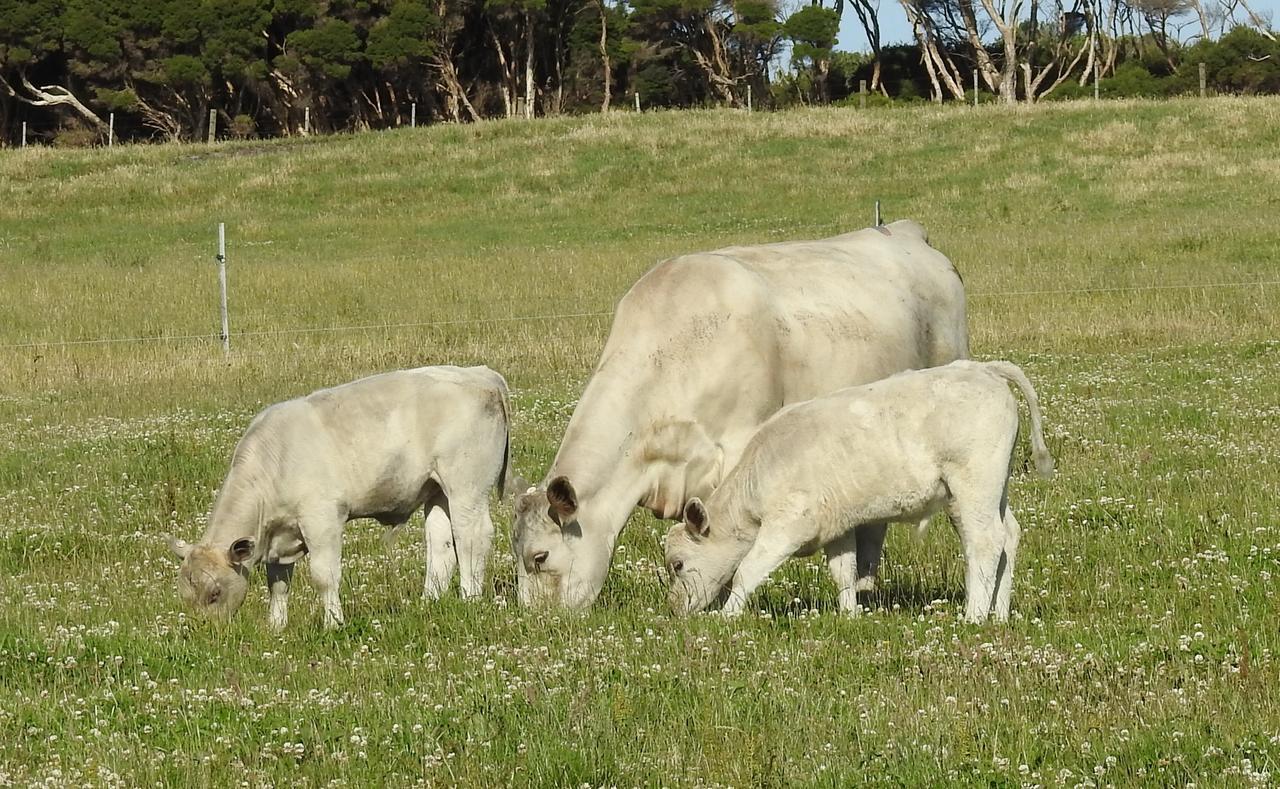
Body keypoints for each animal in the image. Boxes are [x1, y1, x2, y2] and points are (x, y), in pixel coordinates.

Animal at [165, 366, 509, 632]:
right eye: (184, 593)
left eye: (214, 593)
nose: (206, 632)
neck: (274, 460)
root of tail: (480, 373)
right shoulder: (280, 538)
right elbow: (278, 584)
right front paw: (276, 627)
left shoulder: (322, 520)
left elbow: (324, 575)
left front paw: (333, 623)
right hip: (437, 491)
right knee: (440, 545)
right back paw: (429, 601)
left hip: (466, 487)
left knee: (471, 537)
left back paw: (469, 597)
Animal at [665, 361, 1054, 625]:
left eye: (678, 564)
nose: (675, 608)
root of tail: (982, 368)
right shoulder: (835, 527)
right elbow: (844, 572)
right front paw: (849, 615)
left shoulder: (787, 526)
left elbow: (747, 570)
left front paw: (728, 615)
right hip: (991, 490)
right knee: (1008, 537)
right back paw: (998, 614)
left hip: (974, 483)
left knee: (986, 541)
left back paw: (974, 615)